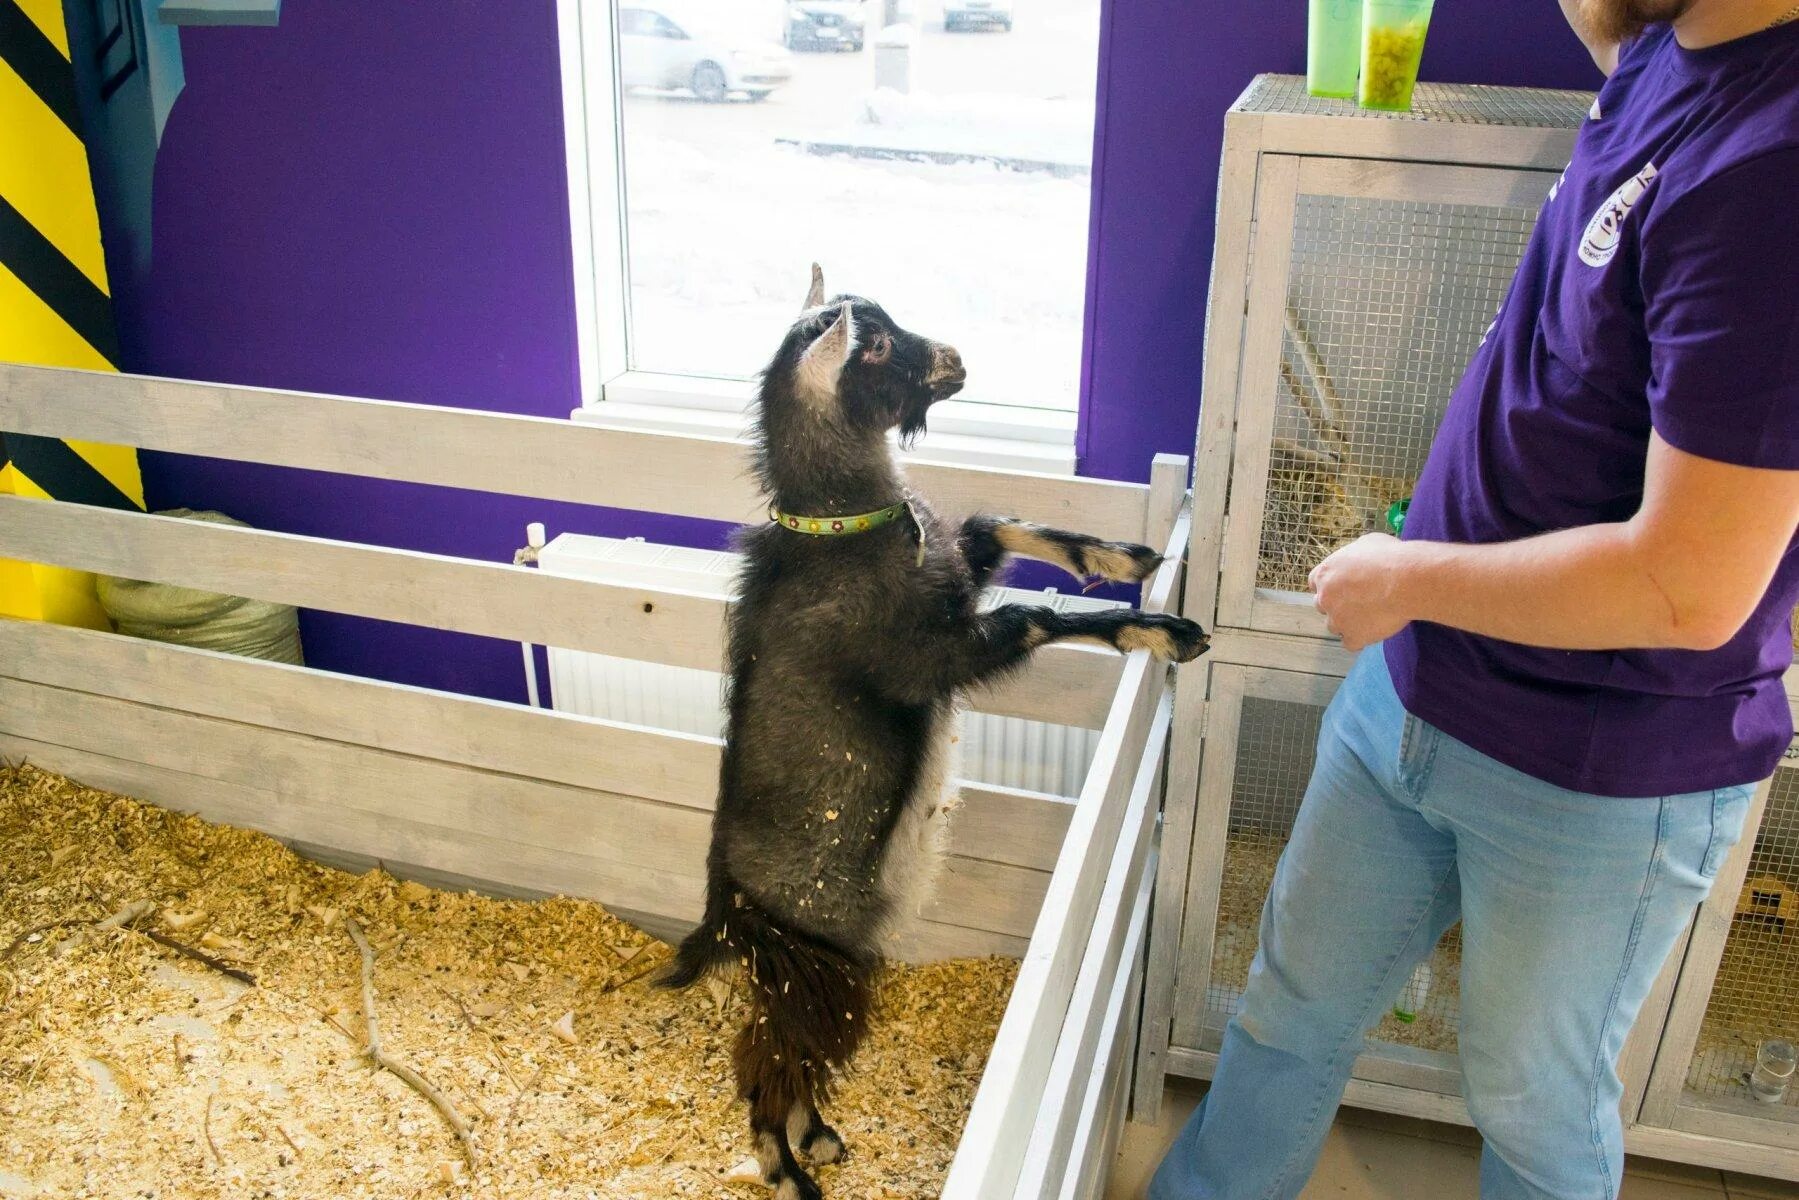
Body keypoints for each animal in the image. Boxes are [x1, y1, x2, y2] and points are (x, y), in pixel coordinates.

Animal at [662, 264, 1208, 1200]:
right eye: (874, 344)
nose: (954, 357)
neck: (848, 532)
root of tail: (725, 905)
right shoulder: (927, 655)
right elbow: (1031, 615)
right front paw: (1162, 630)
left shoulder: (957, 573)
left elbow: (996, 526)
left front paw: (1124, 556)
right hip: (809, 959)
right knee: (765, 1065)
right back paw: (788, 1167)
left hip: (829, 965)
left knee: (787, 1058)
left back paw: (818, 1137)